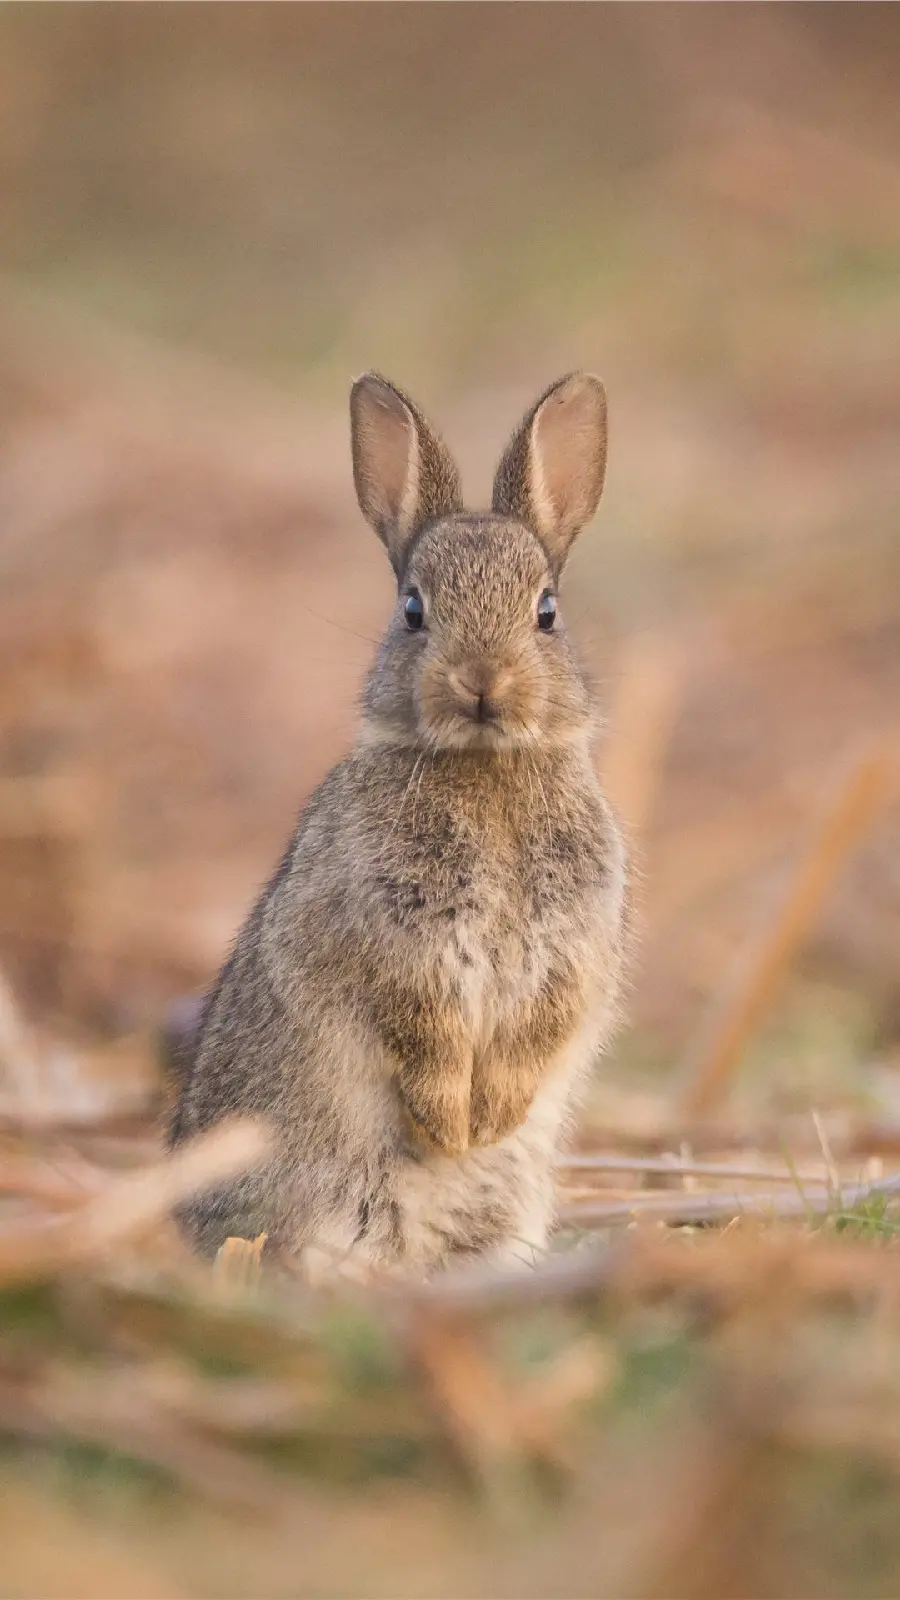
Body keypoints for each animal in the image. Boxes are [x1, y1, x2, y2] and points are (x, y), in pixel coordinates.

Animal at [171, 371, 627, 1273]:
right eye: (414, 609)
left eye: (547, 612)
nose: (482, 680)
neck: (485, 764)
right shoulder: (394, 940)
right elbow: (422, 1028)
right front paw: (452, 1126)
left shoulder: (572, 947)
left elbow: (540, 1027)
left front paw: (489, 1120)